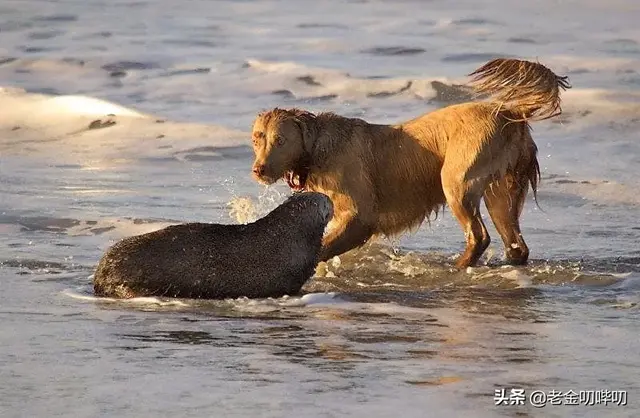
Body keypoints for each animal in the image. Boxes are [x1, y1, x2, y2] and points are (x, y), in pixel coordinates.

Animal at [250, 58, 568, 268]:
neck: (317, 147)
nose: (258, 169)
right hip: (504, 187)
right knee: (515, 241)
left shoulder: (360, 214)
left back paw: (458, 266)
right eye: (256, 139)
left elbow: (329, 242)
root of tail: (509, 113)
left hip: (457, 177)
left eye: (280, 140)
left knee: (478, 234)